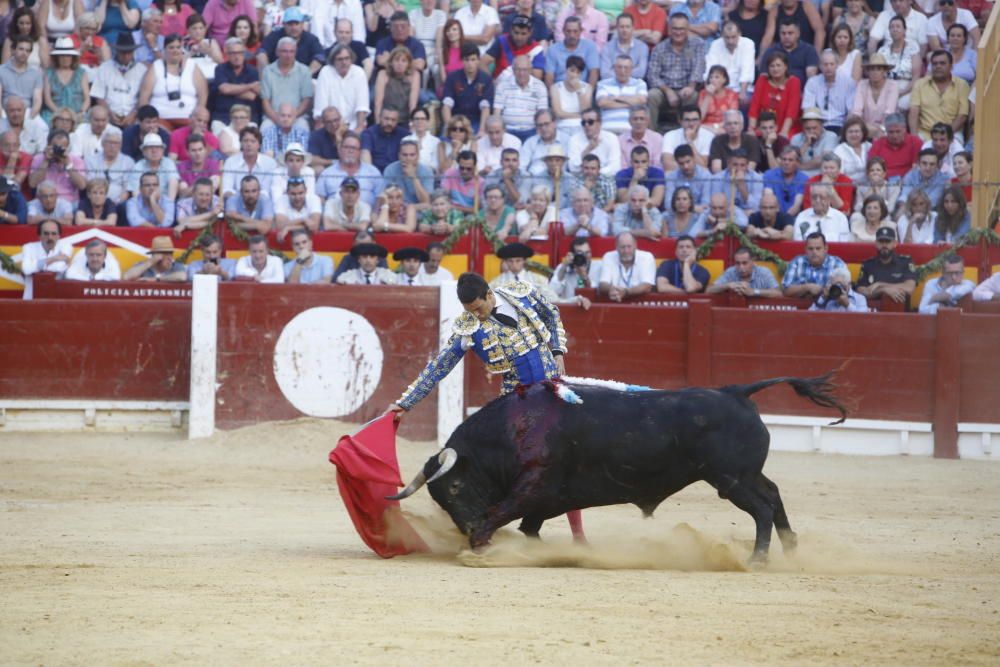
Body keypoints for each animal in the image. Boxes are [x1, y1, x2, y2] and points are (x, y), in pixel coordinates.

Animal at [390, 374, 844, 560]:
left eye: (453, 488)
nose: (463, 530)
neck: (512, 428)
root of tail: (736, 392)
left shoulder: (532, 487)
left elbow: (501, 515)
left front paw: (480, 547)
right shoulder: (546, 500)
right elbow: (529, 528)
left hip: (730, 480)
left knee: (763, 508)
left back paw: (758, 559)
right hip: (745, 476)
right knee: (774, 495)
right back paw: (791, 549)